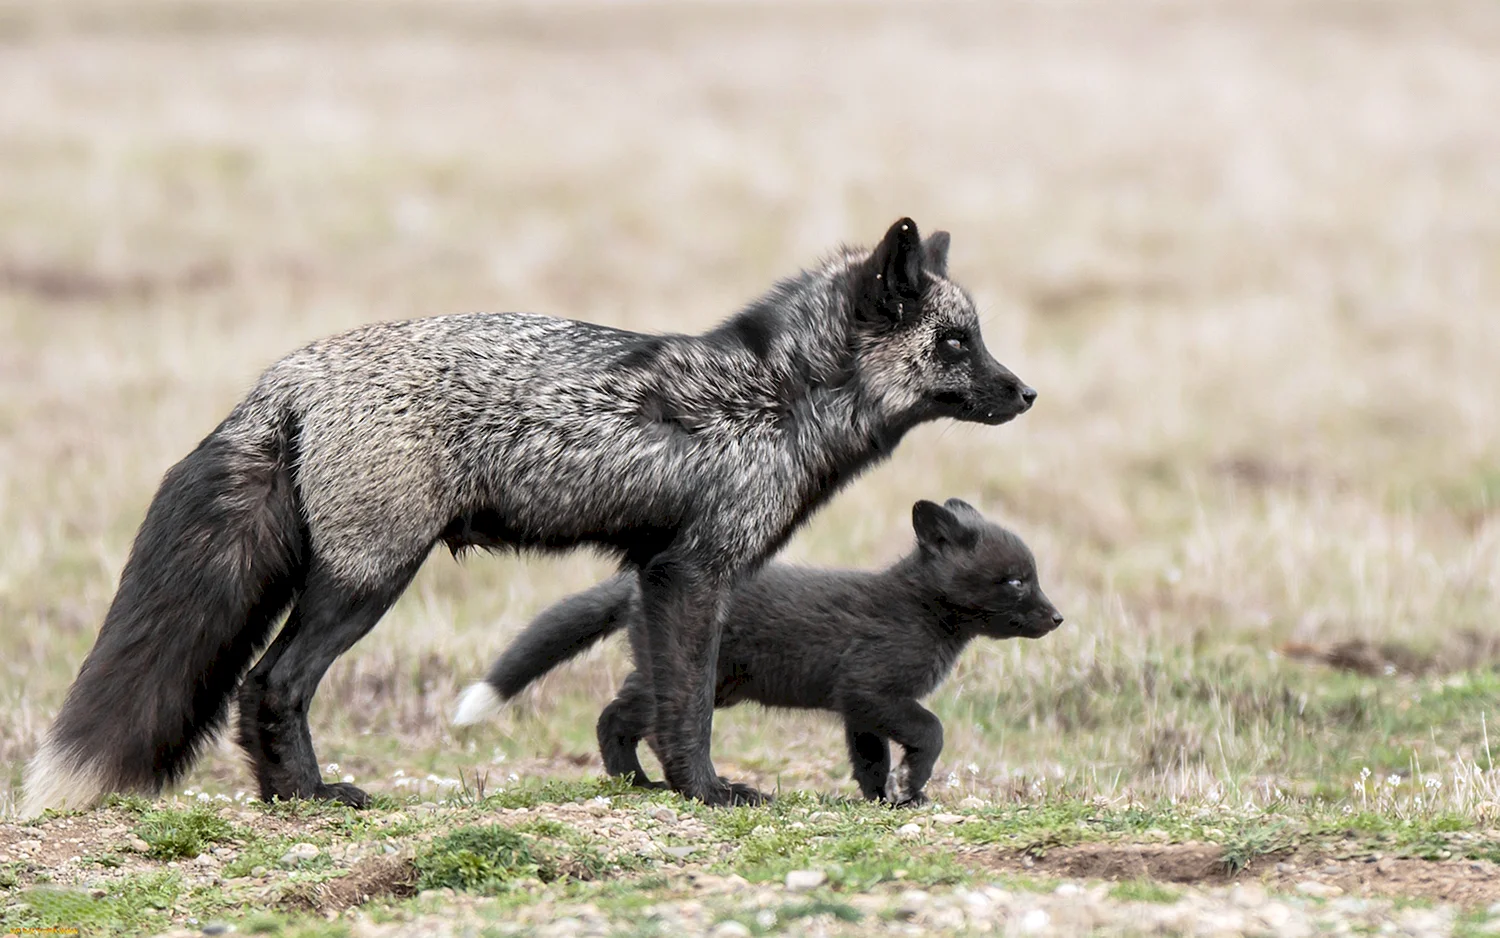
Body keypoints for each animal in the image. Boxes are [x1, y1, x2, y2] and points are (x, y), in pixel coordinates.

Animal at [26, 217, 1032, 810]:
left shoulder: (655, 574)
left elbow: (656, 700)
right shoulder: (694, 571)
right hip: (367, 581)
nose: (1026, 394)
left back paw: (287, 796)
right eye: (956, 342)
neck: (774, 395)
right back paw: (310, 797)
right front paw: (706, 793)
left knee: (261, 687)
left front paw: (653, 786)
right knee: (272, 682)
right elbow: (689, 707)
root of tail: (289, 373)